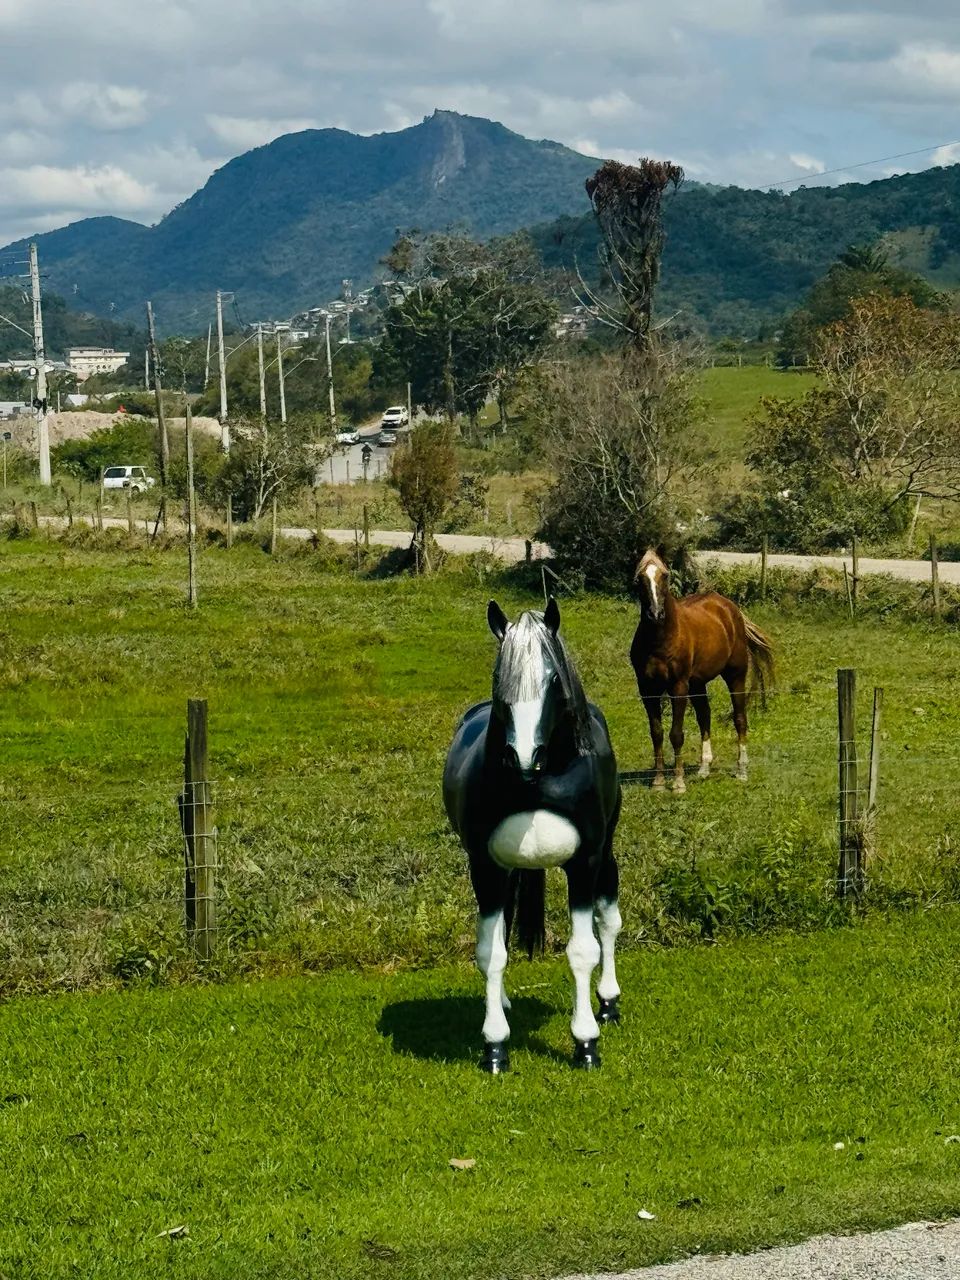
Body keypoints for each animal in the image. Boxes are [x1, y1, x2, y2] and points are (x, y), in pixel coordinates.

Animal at [443, 597, 622, 1073]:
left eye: (553, 678)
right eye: (498, 677)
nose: (524, 756)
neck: (537, 783)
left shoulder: (583, 865)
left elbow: (583, 950)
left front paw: (586, 1043)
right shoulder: (485, 867)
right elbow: (491, 951)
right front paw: (495, 1045)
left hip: (606, 857)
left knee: (608, 923)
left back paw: (609, 1003)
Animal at [630, 548, 774, 793]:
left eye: (665, 575)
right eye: (639, 578)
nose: (656, 614)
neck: (660, 640)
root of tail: (730, 609)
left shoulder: (678, 686)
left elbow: (676, 734)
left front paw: (678, 783)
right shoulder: (647, 689)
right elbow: (657, 733)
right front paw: (658, 782)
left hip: (735, 675)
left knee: (740, 718)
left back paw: (741, 770)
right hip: (697, 683)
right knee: (704, 716)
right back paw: (704, 769)